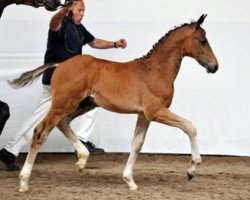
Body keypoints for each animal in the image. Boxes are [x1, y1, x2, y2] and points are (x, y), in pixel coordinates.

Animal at [8, 14, 218, 192]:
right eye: (203, 41)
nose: (215, 66)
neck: (155, 70)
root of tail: (60, 64)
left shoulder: (143, 115)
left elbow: (137, 144)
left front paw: (130, 181)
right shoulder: (156, 111)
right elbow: (190, 127)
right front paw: (191, 170)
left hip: (83, 104)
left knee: (63, 123)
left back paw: (82, 160)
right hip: (63, 104)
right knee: (40, 131)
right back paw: (24, 182)